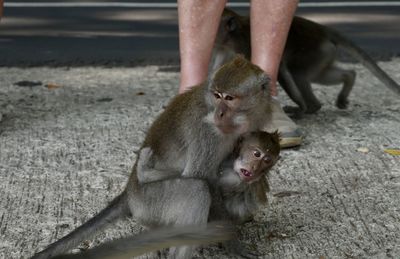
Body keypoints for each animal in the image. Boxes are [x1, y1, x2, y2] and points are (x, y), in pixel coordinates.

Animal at [212, 8, 400, 118]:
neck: (231, 39)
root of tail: (322, 29)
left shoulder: (245, 45)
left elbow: (280, 69)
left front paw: (300, 107)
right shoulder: (223, 49)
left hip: (315, 50)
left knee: (298, 72)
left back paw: (310, 107)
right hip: (325, 52)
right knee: (320, 75)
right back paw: (349, 77)